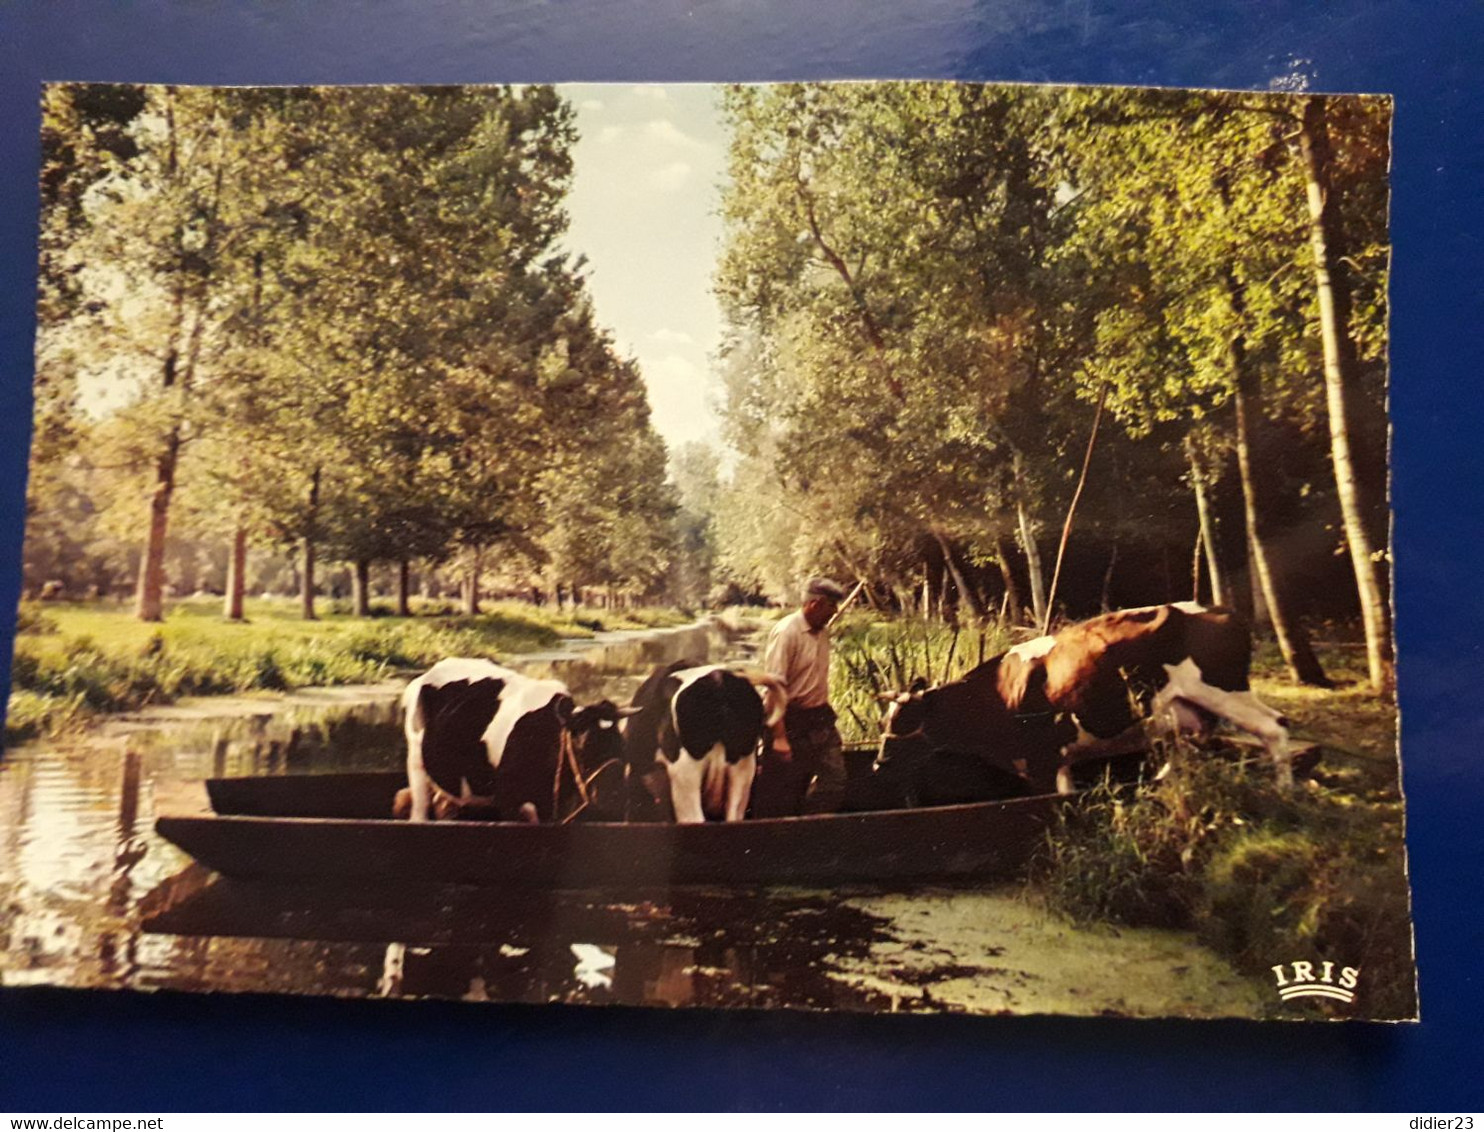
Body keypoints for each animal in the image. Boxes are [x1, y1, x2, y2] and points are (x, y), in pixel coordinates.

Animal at [878, 602, 1288, 795]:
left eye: (903, 721)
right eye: (884, 720)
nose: (879, 763)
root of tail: (1221, 610)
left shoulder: (1041, 762)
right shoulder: (1056, 762)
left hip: (1225, 692)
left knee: (1276, 728)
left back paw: (1284, 790)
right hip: (1185, 711)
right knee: (1184, 752)